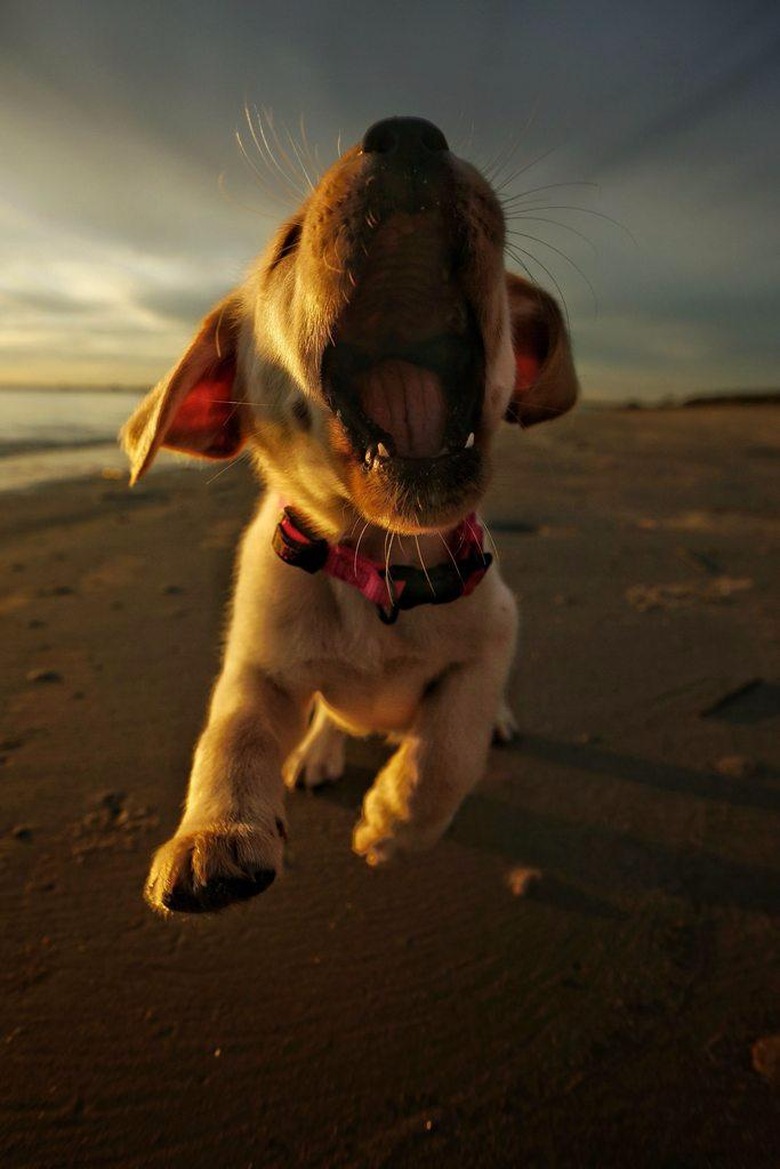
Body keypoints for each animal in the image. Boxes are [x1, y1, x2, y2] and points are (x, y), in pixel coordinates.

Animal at [119, 116, 577, 911]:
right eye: (286, 245)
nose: (412, 132)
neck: (383, 563)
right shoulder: (257, 669)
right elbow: (230, 737)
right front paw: (214, 837)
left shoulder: (495, 628)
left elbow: (450, 743)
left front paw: (394, 822)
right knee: (325, 718)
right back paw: (316, 753)